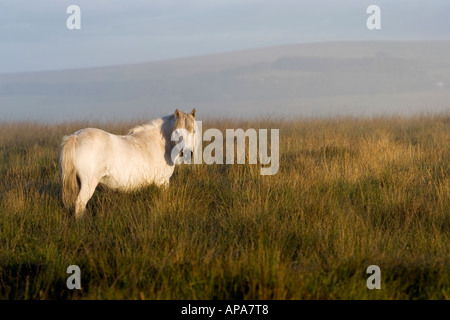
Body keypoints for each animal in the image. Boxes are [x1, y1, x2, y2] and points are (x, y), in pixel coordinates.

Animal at [59, 109, 197, 219]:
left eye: (194, 131)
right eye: (177, 132)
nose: (187, 154)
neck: (159, 143)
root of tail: (75, 136)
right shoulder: (162, 182)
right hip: (88, 183)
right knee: (80, 203)